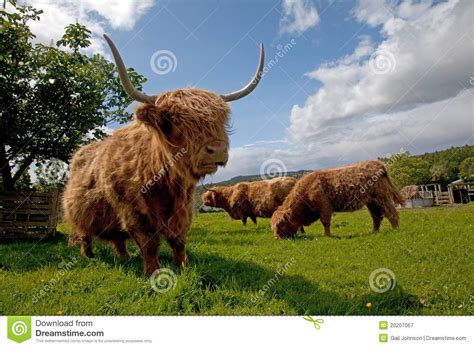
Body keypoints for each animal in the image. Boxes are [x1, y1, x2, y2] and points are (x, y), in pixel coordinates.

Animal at [61, 35, 264, 274]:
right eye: (173, 121)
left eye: (220, 120)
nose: (217, 150)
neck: (165, 183)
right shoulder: (133, 213)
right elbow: (149, 245)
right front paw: (153, 273)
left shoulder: (183, 209)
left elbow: (178, 241)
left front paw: (183, 266)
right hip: (78, 215)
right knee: (85, 236)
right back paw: (89, 255)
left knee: (118, 240)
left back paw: (125, 257)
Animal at [270, 160, 404, 239]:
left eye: (280, 225)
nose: (277, 238)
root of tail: (378, 163)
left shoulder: (325, 207)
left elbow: (325, 222)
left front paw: (327, 236)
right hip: (371, 202)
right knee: (376, 217)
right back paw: (374, 232)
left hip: (382, 197)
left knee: (391, 212)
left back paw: (395, 230)